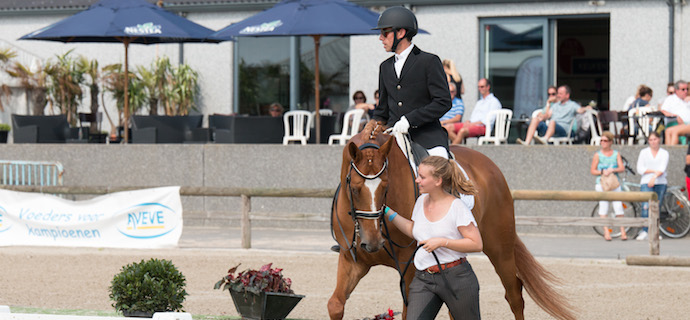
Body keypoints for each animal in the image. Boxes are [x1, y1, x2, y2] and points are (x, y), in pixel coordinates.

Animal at [326, 121, 572, 318]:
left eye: (385, 187)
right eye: (354, 189)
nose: (373, 243)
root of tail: (490, 165)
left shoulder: (410, 267)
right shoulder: (352, 261)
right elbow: (335, 305)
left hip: (499, 249)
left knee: (514, 296)